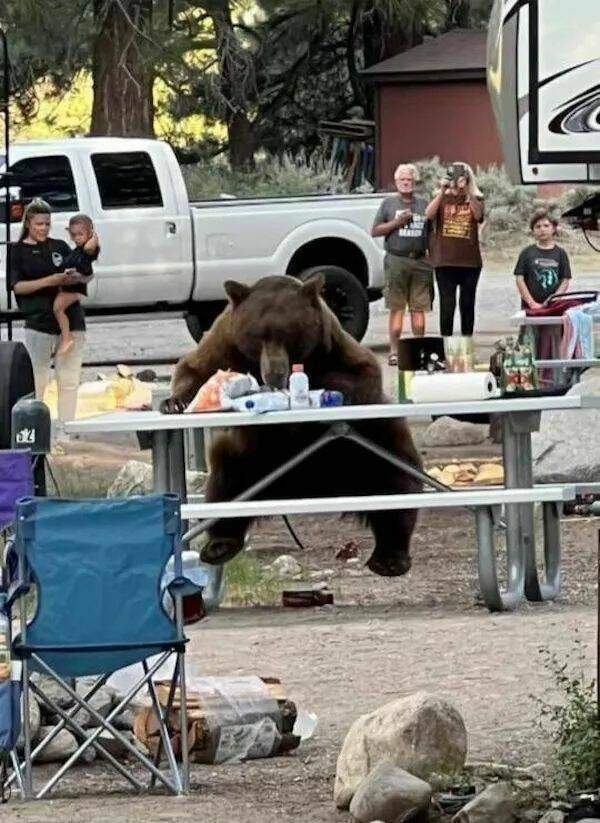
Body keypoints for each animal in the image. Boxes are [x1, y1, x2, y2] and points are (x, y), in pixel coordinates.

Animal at [164, 274, 422, 576]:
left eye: (289, 335)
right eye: (257, 336)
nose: (275, 373)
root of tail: (301, 486)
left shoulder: (334, 346)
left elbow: (363, 371)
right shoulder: (226, 343)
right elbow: (194, 368)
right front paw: (173, 402)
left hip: (370, 447)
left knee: (396, 479)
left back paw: (391, 557)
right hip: (252, 459)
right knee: (225, 479)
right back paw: (220, 544)